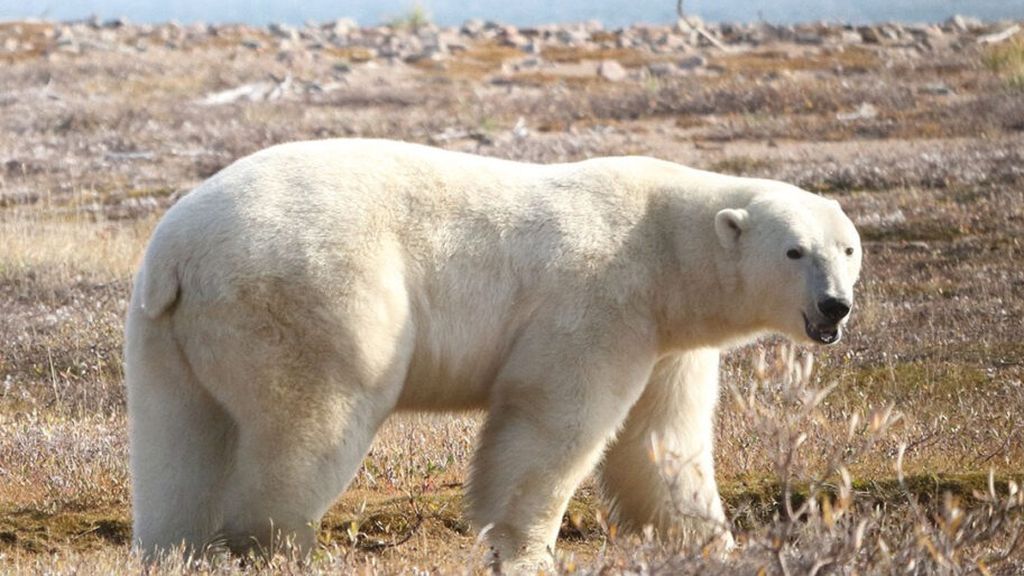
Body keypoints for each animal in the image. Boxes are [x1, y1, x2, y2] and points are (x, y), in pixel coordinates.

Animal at [128, 138, 864, 569]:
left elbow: (661, 440)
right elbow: (554, 422)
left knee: (179, 440)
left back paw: (175, 549)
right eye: (794, 250)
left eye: (848, 248)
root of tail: (180, 253)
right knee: (312, 419)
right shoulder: (600, 300)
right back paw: (283, 546)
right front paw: (526, 551)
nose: (835, 306)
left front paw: (712, 542)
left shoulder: (669, 339)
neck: (664, 247)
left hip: (166, 333)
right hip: (311, 296)